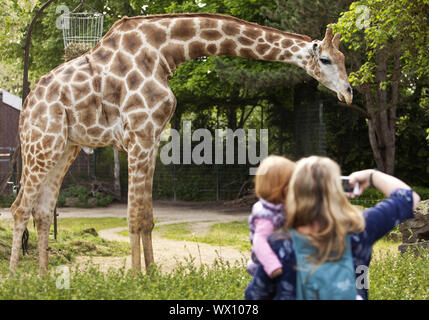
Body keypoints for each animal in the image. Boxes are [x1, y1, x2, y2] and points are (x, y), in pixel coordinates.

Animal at [10, 11, 352, 272]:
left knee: (43, 211)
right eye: (325, 59)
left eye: (344, 57)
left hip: (64, 148)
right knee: (19, 208)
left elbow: (147, 217)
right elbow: (133, 216)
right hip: (41, 144)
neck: (164, 51)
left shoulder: (150, 138)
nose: (348, 93)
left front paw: (152, 274)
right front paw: (135, 277)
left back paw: (43, 276)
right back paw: (16, 277)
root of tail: (26, 107)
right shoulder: (139, 134)